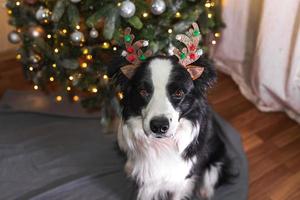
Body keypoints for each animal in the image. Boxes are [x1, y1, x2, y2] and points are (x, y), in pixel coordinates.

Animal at [115, 55, 232, 200]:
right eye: (143, 91)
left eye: (178, 93)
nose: (159, 126)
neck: (162, 144)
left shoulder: (182, 177)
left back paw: (205, 191)